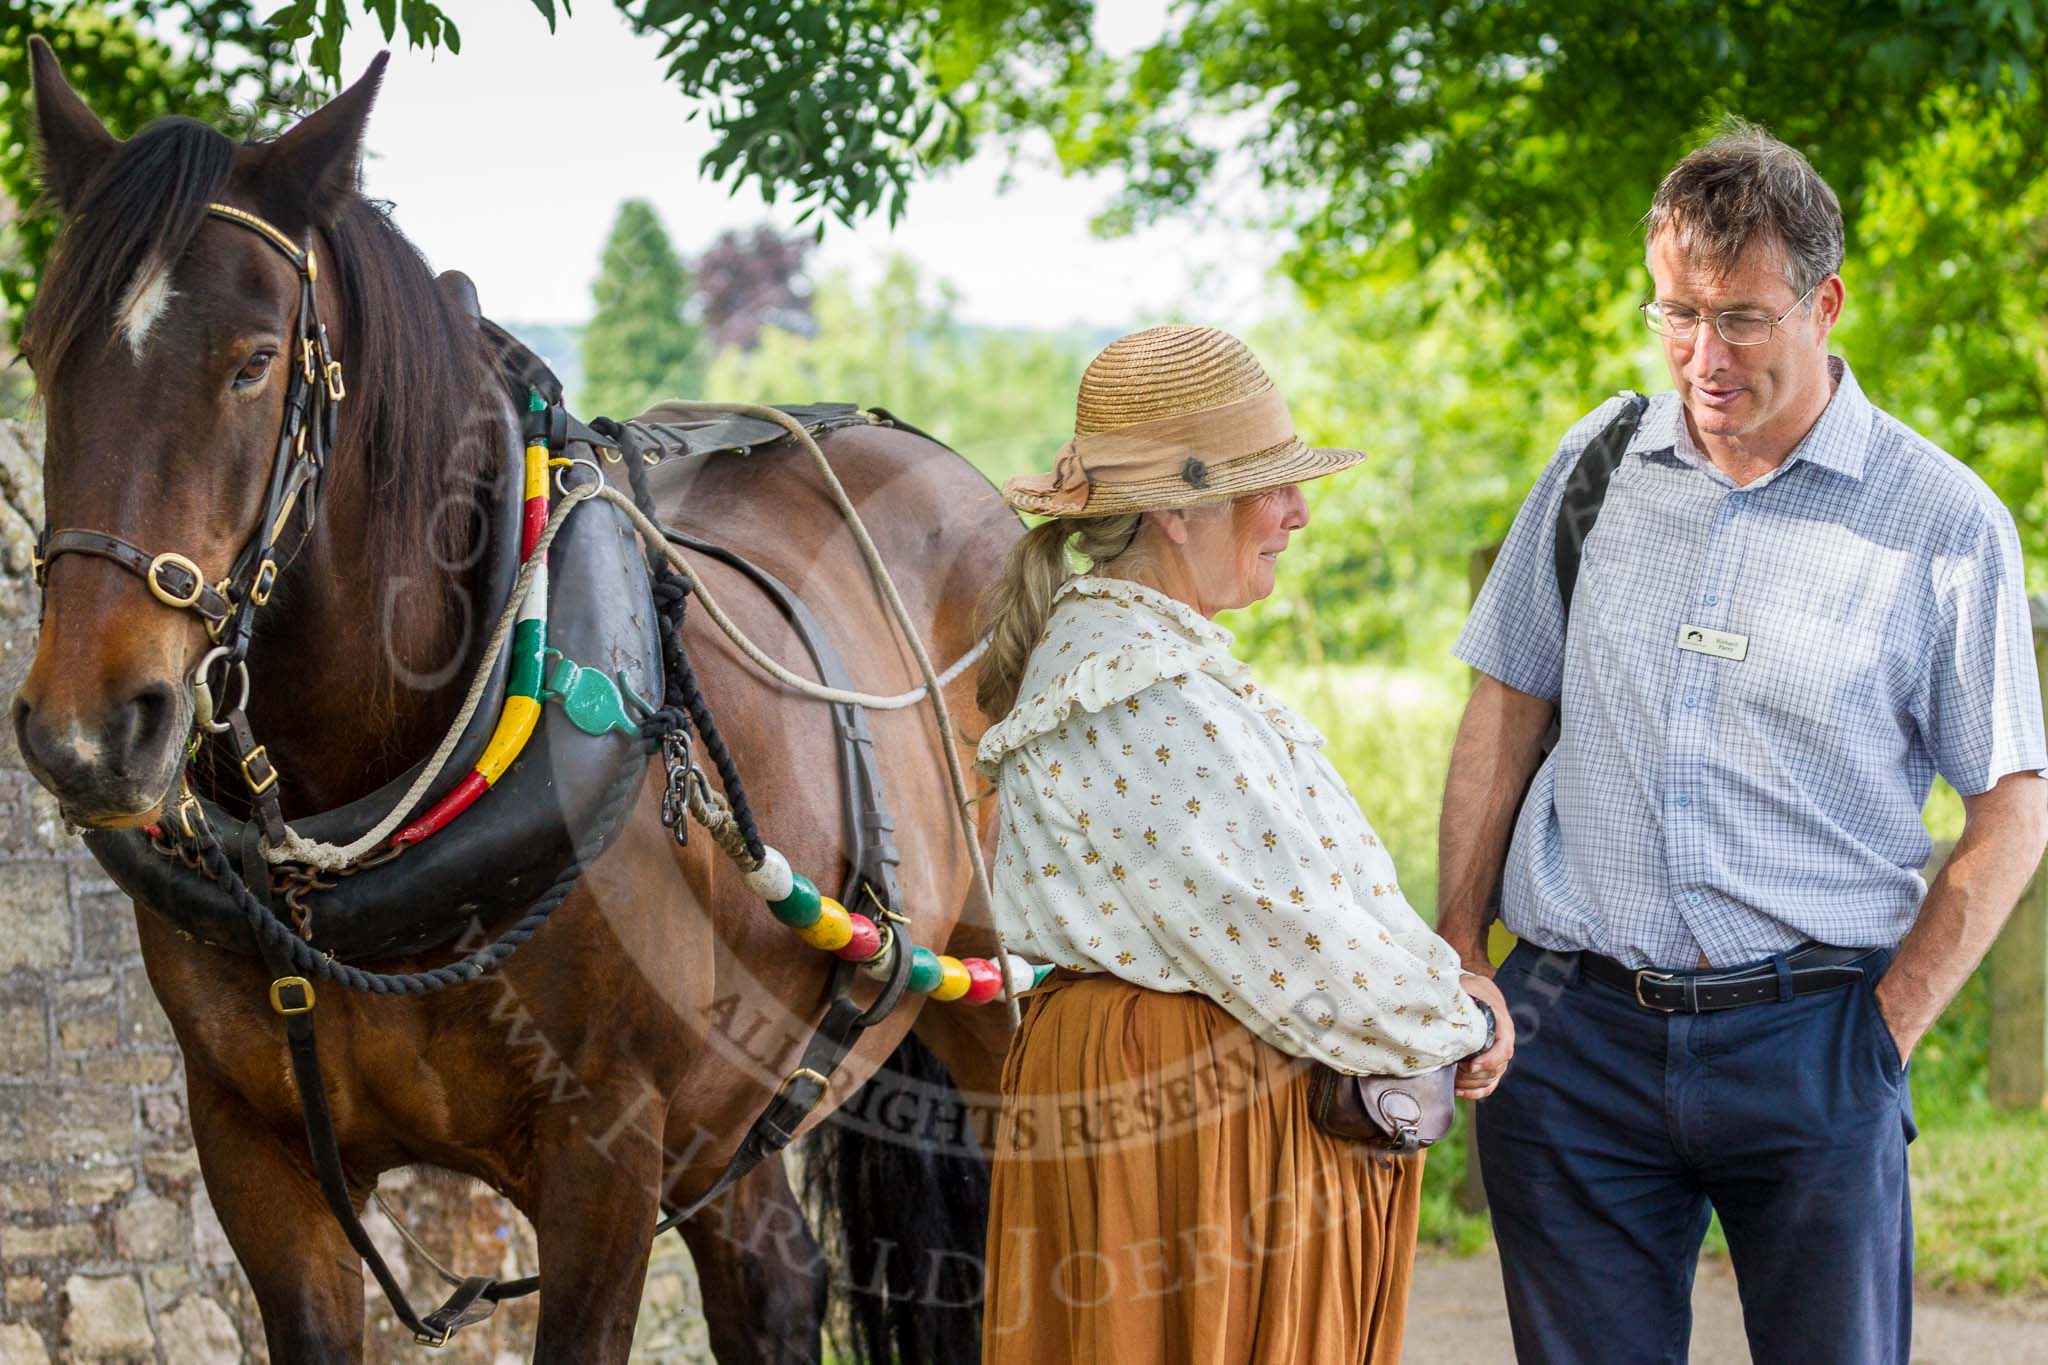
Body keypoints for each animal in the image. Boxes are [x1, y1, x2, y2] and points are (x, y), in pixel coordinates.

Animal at [6, 42, 1015, 1365]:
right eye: (40, 353)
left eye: (254, 362)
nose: (87, 730)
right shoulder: (255, 1155)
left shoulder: (607, 1166)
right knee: (773, 1277)